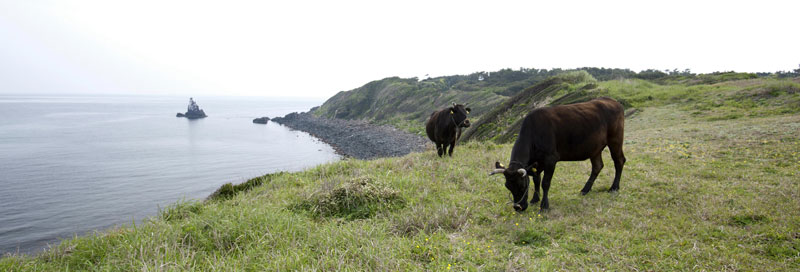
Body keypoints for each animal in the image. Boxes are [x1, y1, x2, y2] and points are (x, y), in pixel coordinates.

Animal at [488, 96, 624, 211]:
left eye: (522, 186)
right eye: (508, 186)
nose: (518, 208)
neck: (534, 134)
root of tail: (613, 101)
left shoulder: (550, 159)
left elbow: (545, 183)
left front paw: (544, 205)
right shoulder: (536, 163)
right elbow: (536, 180)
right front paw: (535, 199)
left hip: (615, 140)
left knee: (619, 161)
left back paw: (614, 188)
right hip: (594, 148)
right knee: (597, 166)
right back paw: (585, 190)